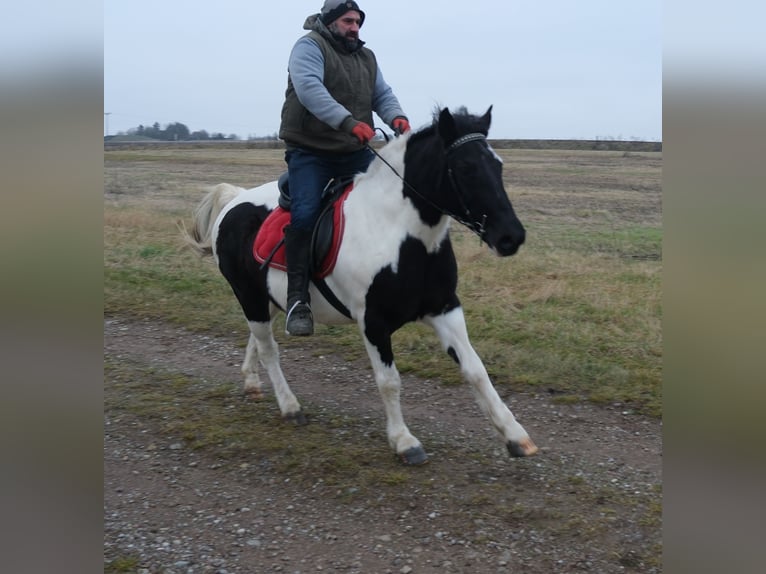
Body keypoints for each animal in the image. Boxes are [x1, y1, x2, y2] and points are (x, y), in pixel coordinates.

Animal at [183, 106, 538, 465]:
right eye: (465, 167)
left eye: (498, 165)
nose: (511, 237)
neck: (400, 235)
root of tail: (237, 198)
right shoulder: (373, 321)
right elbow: (389, 381)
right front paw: (404, 441)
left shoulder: (445, 309)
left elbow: (475, 369)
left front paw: (515, 435)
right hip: (249, 296)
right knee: (269, 349)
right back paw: (290, 406)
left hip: (268, 299)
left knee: (257, 339)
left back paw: (252, 382)